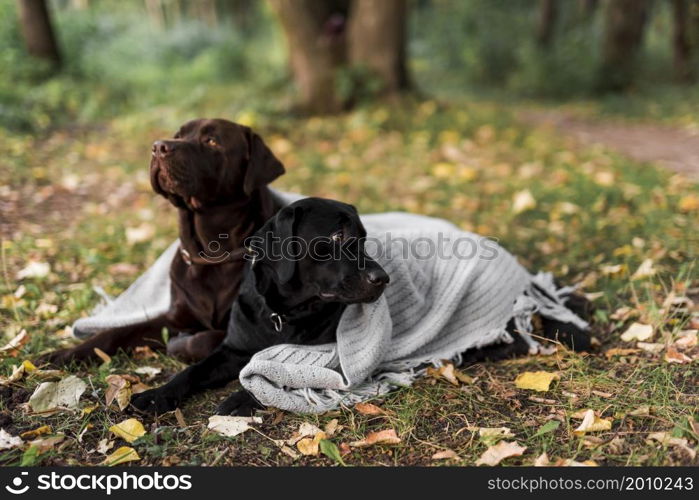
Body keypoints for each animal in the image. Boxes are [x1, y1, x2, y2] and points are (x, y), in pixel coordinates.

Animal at [131, 197, 592, 416]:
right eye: (336, 238)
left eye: (365, 238)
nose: (383, 279)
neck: (284, 315)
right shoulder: (233, 349)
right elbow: (193, 370)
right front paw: (154, 396)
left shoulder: (329, 360)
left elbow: (270, 378)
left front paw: (240, 398)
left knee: (514, 339)